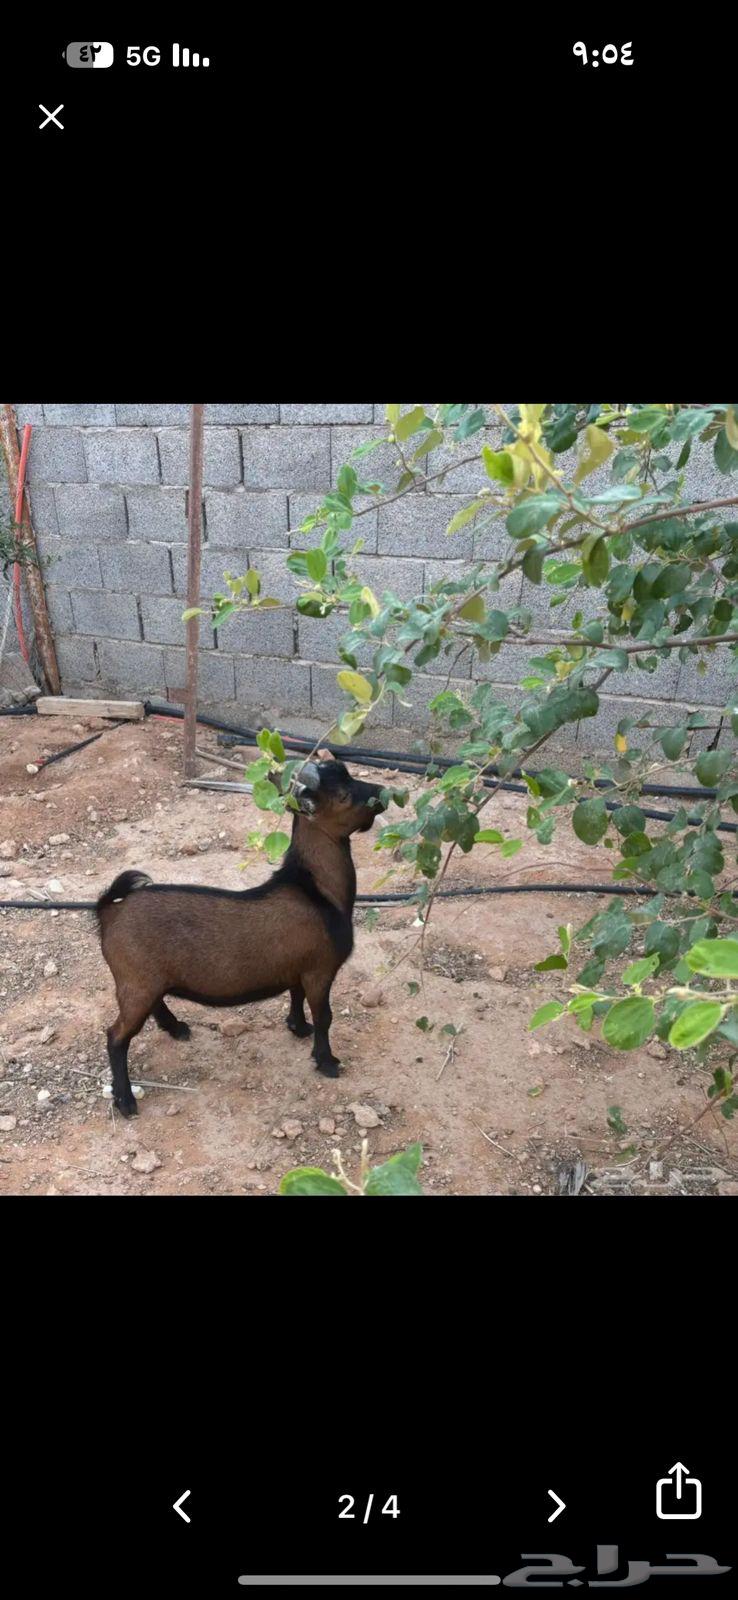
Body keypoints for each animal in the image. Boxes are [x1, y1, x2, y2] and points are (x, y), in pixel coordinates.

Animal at [95, 758, 387, 1116]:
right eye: (344, 794)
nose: (383, 792)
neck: (315, 890)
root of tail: (110, 911)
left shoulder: (299, 968)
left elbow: (296, 996)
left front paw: (298, 1028)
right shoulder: (320, 970)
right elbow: (325, 1017)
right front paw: (327, 1062)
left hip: (147, 981)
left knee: (154, 1005)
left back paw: (176, 1028)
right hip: (135, 983)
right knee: (116, 1036)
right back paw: (125, 1100)